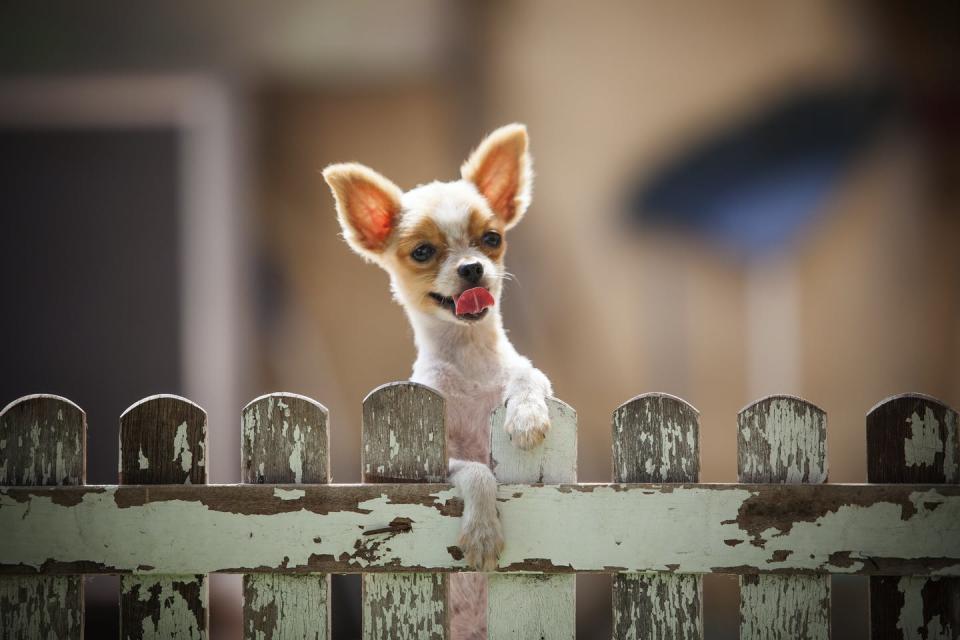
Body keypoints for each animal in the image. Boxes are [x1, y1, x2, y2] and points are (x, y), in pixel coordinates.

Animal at [324, 124, 552, 636]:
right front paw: (482, 532)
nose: (471, 268)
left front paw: (526, 416)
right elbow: (478, 472)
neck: (468, 358)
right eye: (423, 252)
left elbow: (527, 375)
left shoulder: (523, 372)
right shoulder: (419, 468)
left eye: (491, 238)